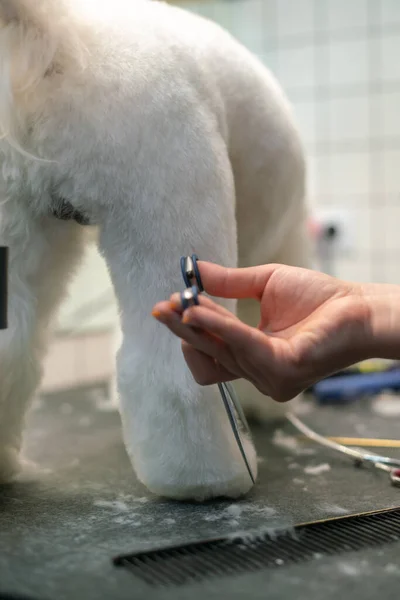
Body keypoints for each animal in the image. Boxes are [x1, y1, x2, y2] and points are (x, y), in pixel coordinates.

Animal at [0, 0, 310, 502]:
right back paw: (206, 479)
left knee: (12, 345)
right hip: (168, 202)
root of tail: (62, 43)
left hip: (21, 228)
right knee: (170, 372)